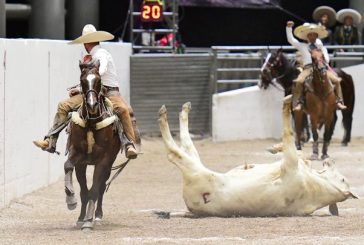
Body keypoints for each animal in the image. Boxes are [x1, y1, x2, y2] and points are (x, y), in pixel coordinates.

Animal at [63, 59, 124, 230]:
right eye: (83, 80)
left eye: (98, 80)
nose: (92, 104)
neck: (91, 123)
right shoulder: (79, 158)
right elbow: (72, 173)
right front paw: (72, 202)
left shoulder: (103, 161)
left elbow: (94, 190)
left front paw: (88, 221)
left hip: (109, 164)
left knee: (102, 187)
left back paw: (97, 215)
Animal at [158, 95, 356, 216]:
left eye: (343, 179)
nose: (330, 160)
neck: (317, 185)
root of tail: (192, 208)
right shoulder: (295, 162)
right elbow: (300, 152)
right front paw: (274, 148)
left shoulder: (290, 165)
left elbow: (289, 134)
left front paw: (287, 103)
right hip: (197, 164)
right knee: (187, 146)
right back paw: (184, 109)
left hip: (197, 171)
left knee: (173, 153)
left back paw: (164, 114)